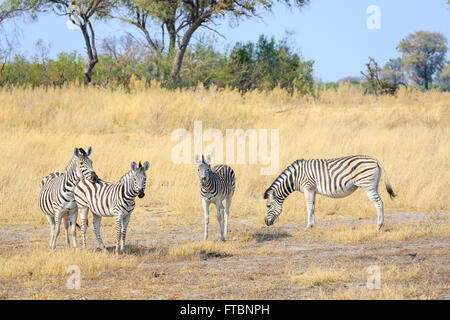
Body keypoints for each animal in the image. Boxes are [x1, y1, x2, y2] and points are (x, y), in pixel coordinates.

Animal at [266, 155, 396, 230]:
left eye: (268, 206)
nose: (266, 223)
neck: (296, 177)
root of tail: (375, 161)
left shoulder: (308, 187)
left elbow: (309, 207)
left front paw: (308, 226)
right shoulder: (313, 190)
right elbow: (313, 207)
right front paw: (312, 225)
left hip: (367, 185)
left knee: (379, 203)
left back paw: (379, 226)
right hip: (374, 185)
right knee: (380, 202)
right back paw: (380, 225)